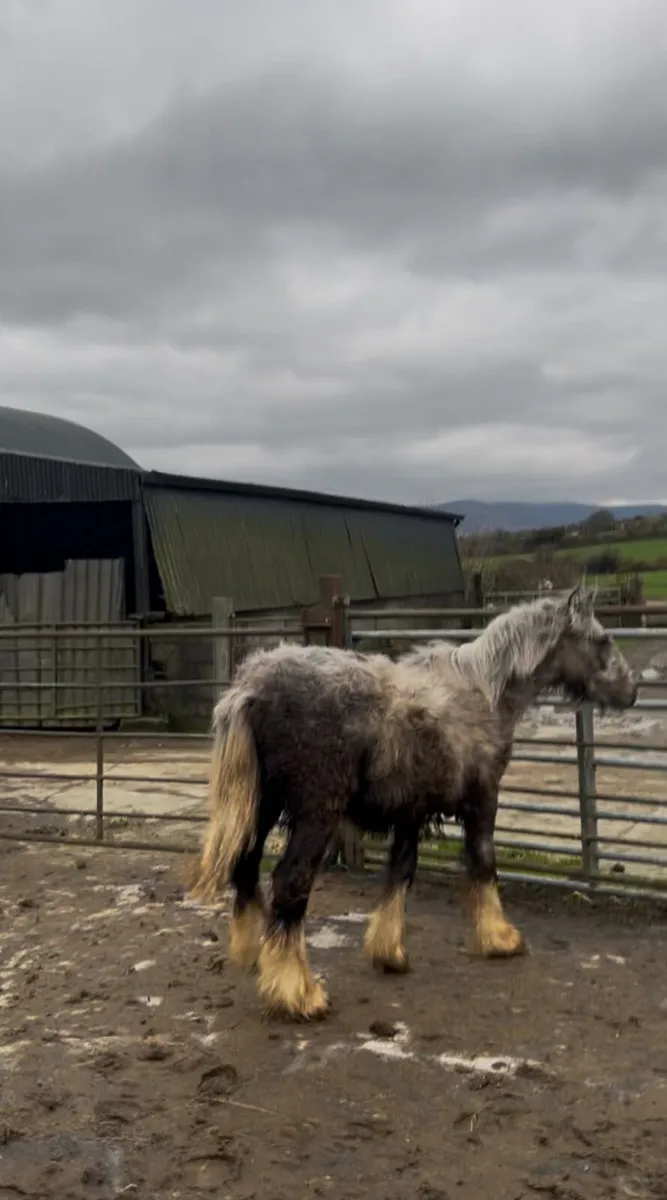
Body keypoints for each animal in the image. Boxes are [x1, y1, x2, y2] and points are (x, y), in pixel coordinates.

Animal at [187, 586, 637, 1020]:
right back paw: (298, 994)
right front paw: (500, 938)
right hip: (316, 815)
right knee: (289, 884)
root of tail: (251, 689)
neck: (484, 691)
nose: (631, 691)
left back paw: (257, 958)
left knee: (245, 868)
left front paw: (390, 953)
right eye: (602, 639)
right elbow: (483, 865)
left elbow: (400, 874)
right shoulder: (483, 801)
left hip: (261, 809)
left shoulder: (410, 813)